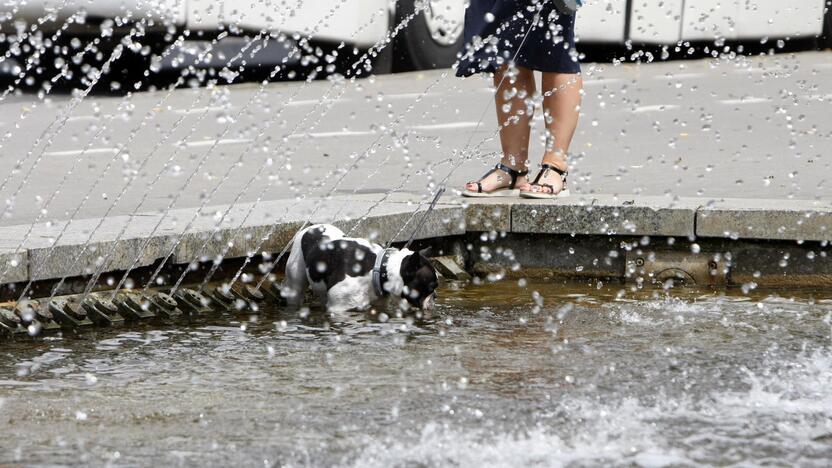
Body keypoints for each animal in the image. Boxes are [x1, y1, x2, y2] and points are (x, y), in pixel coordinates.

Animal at [284, 224, 442, 312]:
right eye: (431, 286)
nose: (435, 296)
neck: (378, 269)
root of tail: (311, 227)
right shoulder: (340, 309)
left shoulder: (379, 304)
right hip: (295, 283)